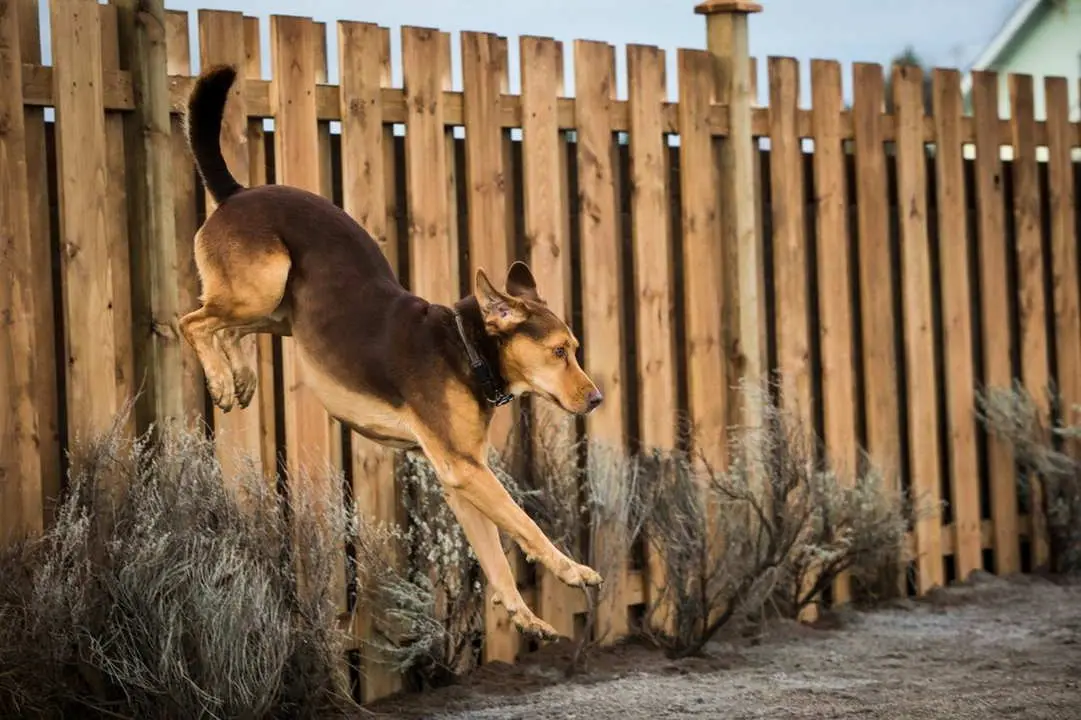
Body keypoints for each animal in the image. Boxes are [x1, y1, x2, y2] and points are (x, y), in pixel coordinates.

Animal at [180, 65, 609, 640]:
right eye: (560, 352)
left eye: (575, 349)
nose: (597, 399)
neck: (467, 350)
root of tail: (236, 192)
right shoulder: (466, 470)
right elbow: (526, 524)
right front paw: (572, 570)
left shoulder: (460, 478)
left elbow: (494, 555)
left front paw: (524, 615)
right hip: (263, 285)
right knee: (192, 321)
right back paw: (222, 380)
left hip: (279, 310)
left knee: (227, 328)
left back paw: (240, 376)